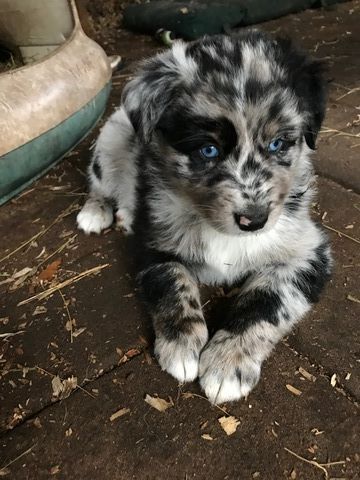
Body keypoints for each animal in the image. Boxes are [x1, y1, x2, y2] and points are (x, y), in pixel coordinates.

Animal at [78, 31, 332, 404]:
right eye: (208, 150)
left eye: (278, 144)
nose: (254, 221)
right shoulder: (153, 240)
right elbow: (173, 281)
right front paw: (181, 347)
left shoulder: (308, 251)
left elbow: (266, 301)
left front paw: (229, 364)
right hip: (110, 144)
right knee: (97, 182)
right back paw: (97, 212)